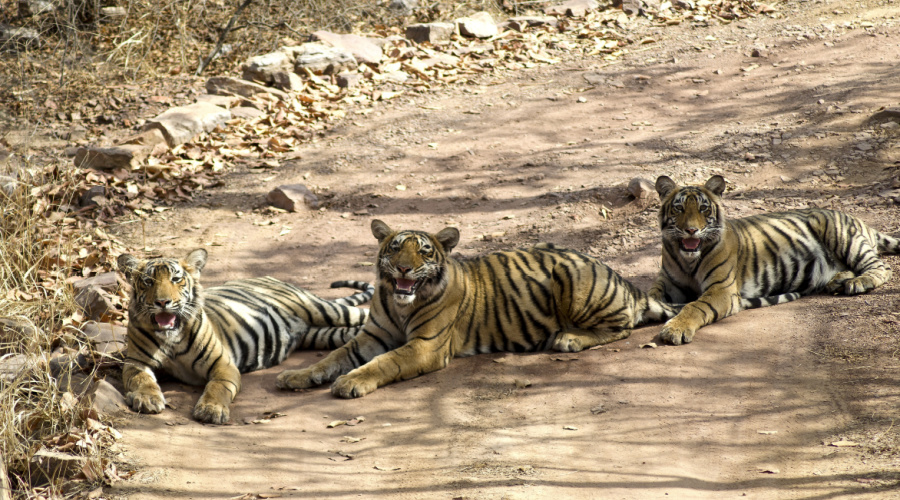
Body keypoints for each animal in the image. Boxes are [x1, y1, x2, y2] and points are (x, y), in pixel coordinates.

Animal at [118, 248, 372, 424]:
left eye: (176, 279)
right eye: (148, 281)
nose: (162, 302)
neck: (171, 336)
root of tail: (271, 278)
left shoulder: (222, 364)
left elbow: (217, 387)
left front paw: (211, 410)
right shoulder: (136, 362)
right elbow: (141, 379)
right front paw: (148, 399)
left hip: (323, 310)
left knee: (366, 315)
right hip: (323, 334)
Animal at [276, 219, 684, 398]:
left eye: (424, 251)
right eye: (394, 248)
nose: (404, 269)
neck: (399, 302)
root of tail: (623, 279)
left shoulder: (425, 345)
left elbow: (384, 362)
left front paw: (351, 382)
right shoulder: (371, 336)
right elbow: (334, 356)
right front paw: (297, 375)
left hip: (570, 273)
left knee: (622, 326)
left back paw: (568, 339)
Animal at [652, 174, 900, 346]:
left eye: (703, 208)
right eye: (678, 208)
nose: (691, 230)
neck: (688, 259)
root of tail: (860, 222)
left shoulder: (721, 289)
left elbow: (695, 307)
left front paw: (675, 329)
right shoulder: (669, 283)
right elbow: (653, 294)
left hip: (840, 233)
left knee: (882, 267)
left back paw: (858, 282)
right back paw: (838, 281)